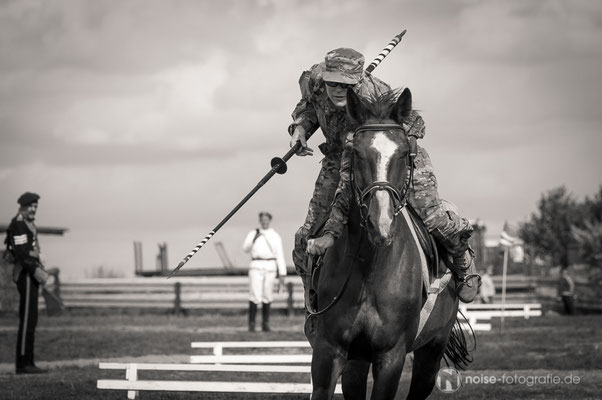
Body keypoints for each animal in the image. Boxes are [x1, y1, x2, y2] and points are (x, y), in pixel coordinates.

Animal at [308, 88, 466, 400]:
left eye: (404, 153)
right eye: (356, 153)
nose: (379, 224)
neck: (369, 268)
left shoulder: (391, 356)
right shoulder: (329, 351)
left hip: (432, 350)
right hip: (357, 360)